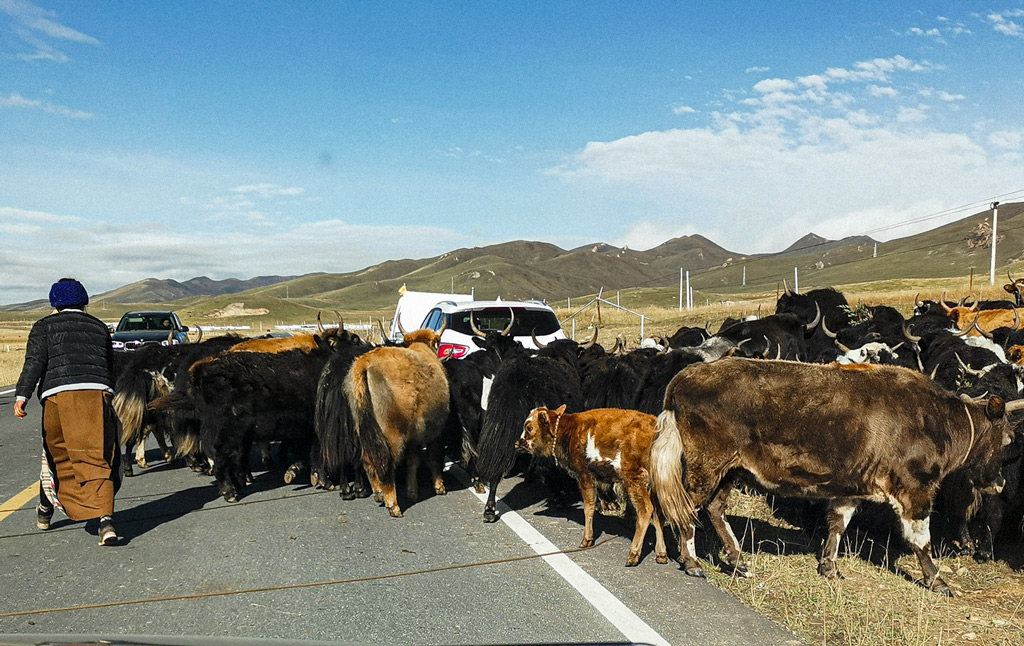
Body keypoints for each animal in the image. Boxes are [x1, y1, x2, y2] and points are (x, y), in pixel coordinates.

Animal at [337, 331, 450, 518]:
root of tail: (364, 363)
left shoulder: (414, 437)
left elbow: (413, 461)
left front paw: (412, 492)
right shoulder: (437, 431)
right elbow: (434, 457)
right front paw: (439, 486)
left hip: (364, 430)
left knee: (368, 459)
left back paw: (378, 494)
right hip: (392, 435)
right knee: (386, 464)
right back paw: (393, 505)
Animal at [516, 407, 667, 569]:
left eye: (529, 427)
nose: (518, 443)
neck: (570, 430)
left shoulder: (585, 476)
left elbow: (588, 506)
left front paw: (586, 540)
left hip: (634, 481)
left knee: (646, 510)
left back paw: (633, 555)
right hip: (653, 487)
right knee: (657, 513)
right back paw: (661, 554)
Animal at [647, 358, 1015, 597]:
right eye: (1008, 439)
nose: (1000, 483)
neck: (939, 420)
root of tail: (683, 377)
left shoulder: (850, 486)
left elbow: (838, 524)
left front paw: (829, 567)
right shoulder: (915, 489)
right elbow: (921, 540)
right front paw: (937, 581)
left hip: (730, 470)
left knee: (713, 509)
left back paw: (738, 561)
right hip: (707, 465)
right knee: (684, 507)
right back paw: (692, 561)